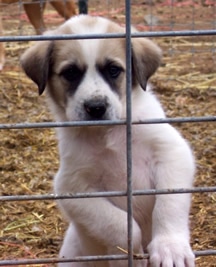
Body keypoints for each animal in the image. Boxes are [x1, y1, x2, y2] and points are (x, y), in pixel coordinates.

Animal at [20, 15, 196, 267]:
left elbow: (169, 204)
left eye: (113, 70)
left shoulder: (171, 152)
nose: (96, 107)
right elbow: (121, 224)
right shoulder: (72, 188)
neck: (108, 135)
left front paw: (170, 247)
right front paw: (131, 254)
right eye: (70, 73)